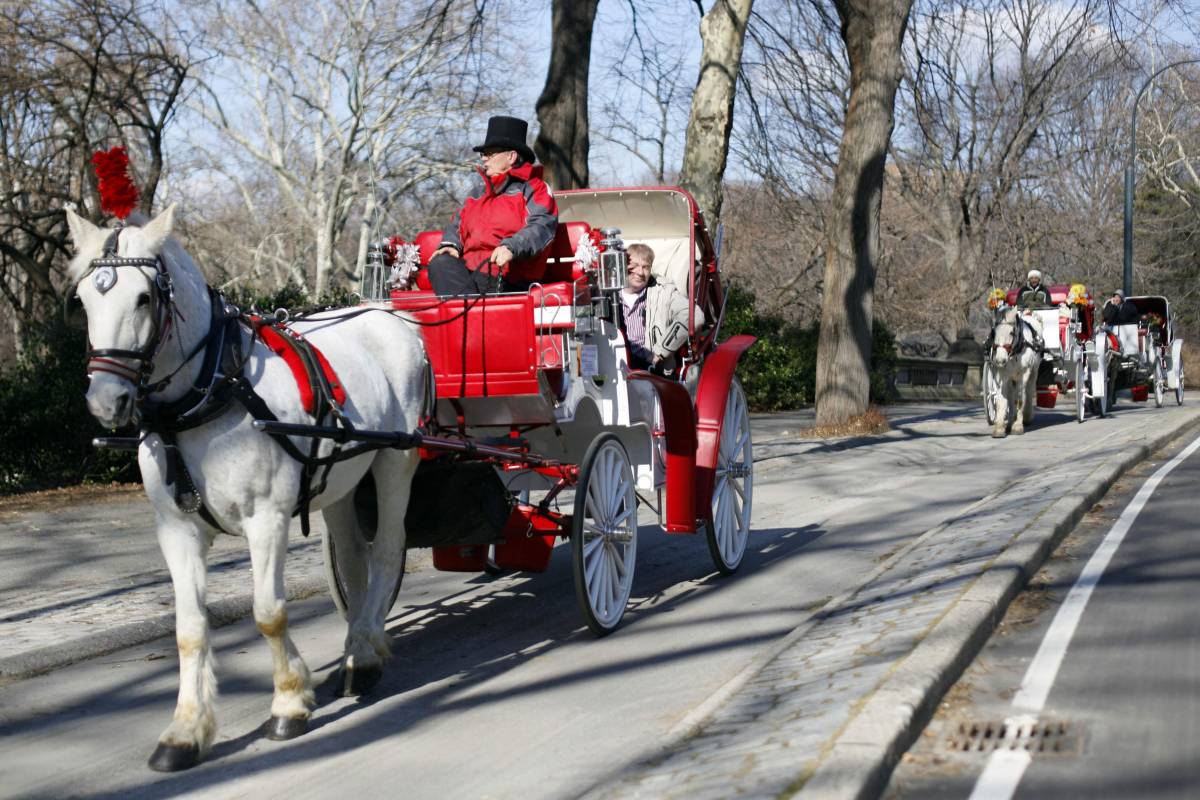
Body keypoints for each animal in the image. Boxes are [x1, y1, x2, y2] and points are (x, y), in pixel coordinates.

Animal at [64, 206, 427, 767]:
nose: (107, 400)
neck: (211, 389)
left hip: (395, 458)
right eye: (83, 301)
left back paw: (364, 653)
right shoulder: (177, 529)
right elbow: (189, 629)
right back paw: (357, 648)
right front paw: (186, 729)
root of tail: (386, 313)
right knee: (353, 562)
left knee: (387, 549)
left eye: (144, 298)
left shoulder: (267, 519)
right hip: (343, 478)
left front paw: (289, 704)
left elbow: (269, 613)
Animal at [993, 309, 1041, 438]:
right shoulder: (1003, 374)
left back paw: (1025, 417)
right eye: (994, 332)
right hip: (1012, 378)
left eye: (1011, 333)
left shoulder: (1024, 374)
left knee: (1028, 392)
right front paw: (999, 428)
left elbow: (1019, 399)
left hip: (1033, 372)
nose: (1000, 360)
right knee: (1011, 396)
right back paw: (1011, 421)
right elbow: (1002, 400)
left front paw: (1018, 426)